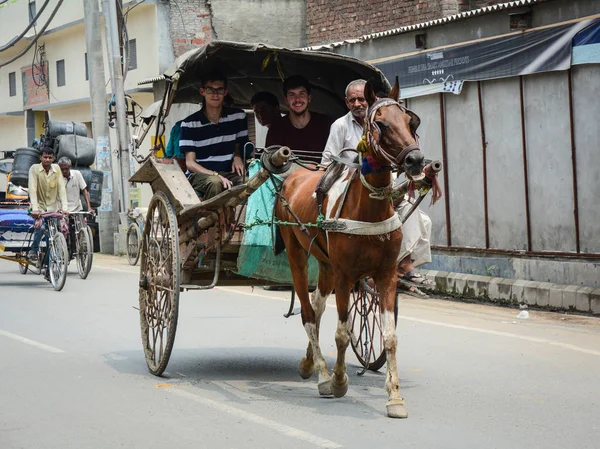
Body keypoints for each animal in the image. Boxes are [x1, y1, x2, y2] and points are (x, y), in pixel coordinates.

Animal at [274, 79, 424, 418]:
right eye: (381, 124)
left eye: (411, 121)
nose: (416, 161)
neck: (369, 208)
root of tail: (295, 174)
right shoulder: (345, 276)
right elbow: (342, 333)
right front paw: (339, 381)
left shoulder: (386, 275)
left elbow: (390, 337)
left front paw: (395, 397)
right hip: (296, 253)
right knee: (307, 312)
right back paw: (322, 374)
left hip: (326, 264)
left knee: (317, 306)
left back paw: (309, 364)